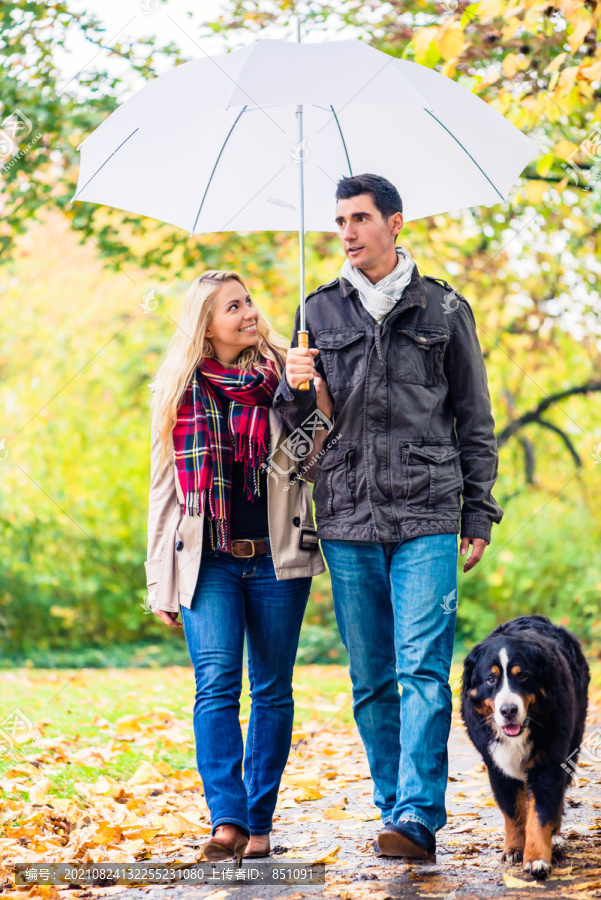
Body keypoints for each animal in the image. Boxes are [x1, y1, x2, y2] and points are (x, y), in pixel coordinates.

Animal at [462, 612, 588, 880]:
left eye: (522, 676)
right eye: (491, 679)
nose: (508, 710)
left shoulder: (548, 763)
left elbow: (540, 814)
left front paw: (537, 859)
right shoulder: (497, 767)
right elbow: (514, 811)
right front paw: (515, 849)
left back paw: (555, 837)